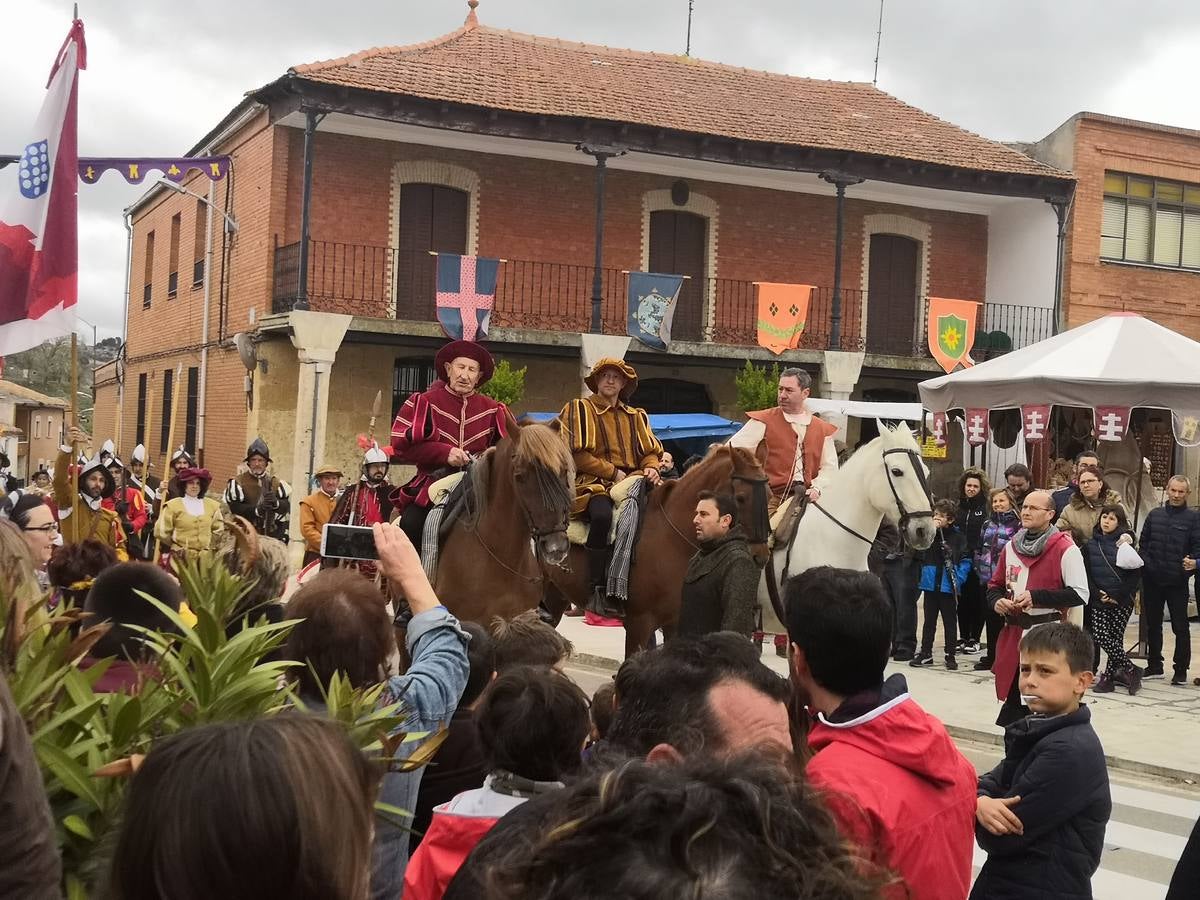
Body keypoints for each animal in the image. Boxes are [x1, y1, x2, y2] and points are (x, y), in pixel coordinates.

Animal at [544, 448, 768, 657]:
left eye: (770, 494)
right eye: (741, 498)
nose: (760, 557)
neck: (671, 538)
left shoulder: (674, 624)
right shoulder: (639, 623)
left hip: (555, 597)